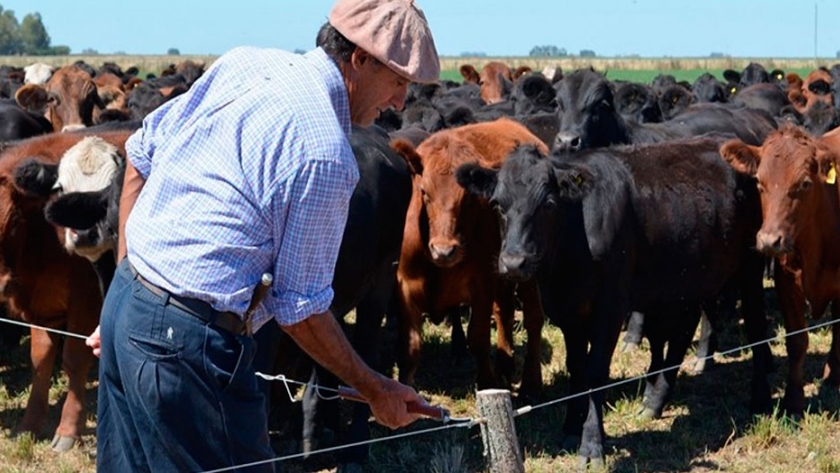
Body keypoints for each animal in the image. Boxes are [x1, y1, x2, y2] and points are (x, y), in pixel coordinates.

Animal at [0, 128, 132, 450]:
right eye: (59, 188)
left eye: (12, 221)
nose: (84, 233)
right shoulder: (41, 307)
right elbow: (40, 360)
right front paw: (29, 424)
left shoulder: (85, 301)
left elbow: (73, 359)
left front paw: (68, 429)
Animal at [392, 118, 544, 394]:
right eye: (424, 192)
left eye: (468, 198)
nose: (444, 250)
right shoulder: (405, 285)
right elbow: (410, 348)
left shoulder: (482, 283)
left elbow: (478, 337)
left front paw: (487, 382)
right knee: (504, 311)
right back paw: (505, 363)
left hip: (526, 268)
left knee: (533, 317)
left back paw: (531, 381)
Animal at [456, 136, 772, 464]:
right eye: (497, 205)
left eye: (548, 204)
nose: (514, 262)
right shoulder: (568, 311)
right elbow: (577, 369)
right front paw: (571, 427)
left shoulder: (610, 308)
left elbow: (596, 372)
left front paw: (592, 444)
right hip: (686, 277)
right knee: (683, 332)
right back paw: (655, 403)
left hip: (750, 263)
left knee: (755, 324)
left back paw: (760, 398)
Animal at [720, 123, 840, 414]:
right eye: (759, 183)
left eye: (805, 184)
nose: (769, 240)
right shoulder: (786, 283)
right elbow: (796, 342)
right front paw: (793, 399)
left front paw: (834, 376)